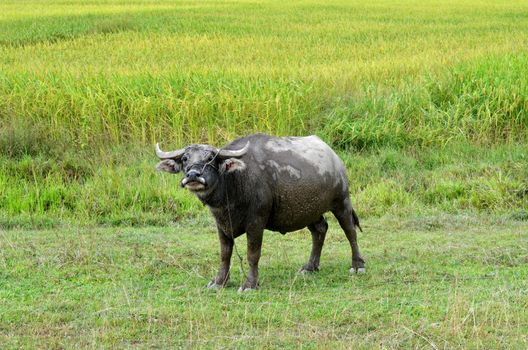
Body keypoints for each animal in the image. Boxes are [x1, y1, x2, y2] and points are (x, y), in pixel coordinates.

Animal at [155, 133, 366, 292]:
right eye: (185, 159)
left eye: (210, 159)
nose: (193, 175)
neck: (234, 184)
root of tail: (334, 158)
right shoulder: (221, 224)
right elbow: (225, 254)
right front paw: (219, 282)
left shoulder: (256, 222)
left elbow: (252, 254)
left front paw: (250, 284)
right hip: (309, 211)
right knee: (320, 230)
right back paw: (310, 267)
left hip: (341, 202)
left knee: (350, 231)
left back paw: (357, 265)